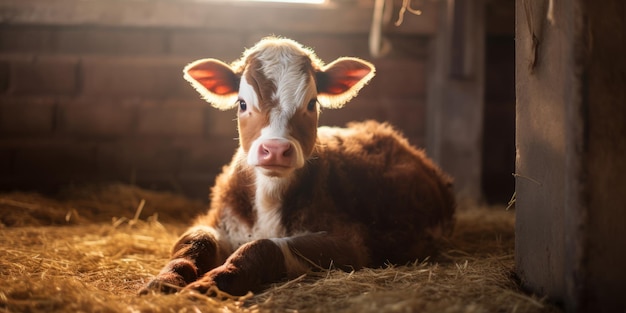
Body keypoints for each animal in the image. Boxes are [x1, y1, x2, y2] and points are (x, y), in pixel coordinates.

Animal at [140, 36, 454, 294]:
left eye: (312, 103)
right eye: (242, 104)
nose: (276, 150)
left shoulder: (353, 243)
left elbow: (263, 246)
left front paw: (210, 283)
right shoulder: (216, 220)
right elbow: (194, 243)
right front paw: (163, 281)